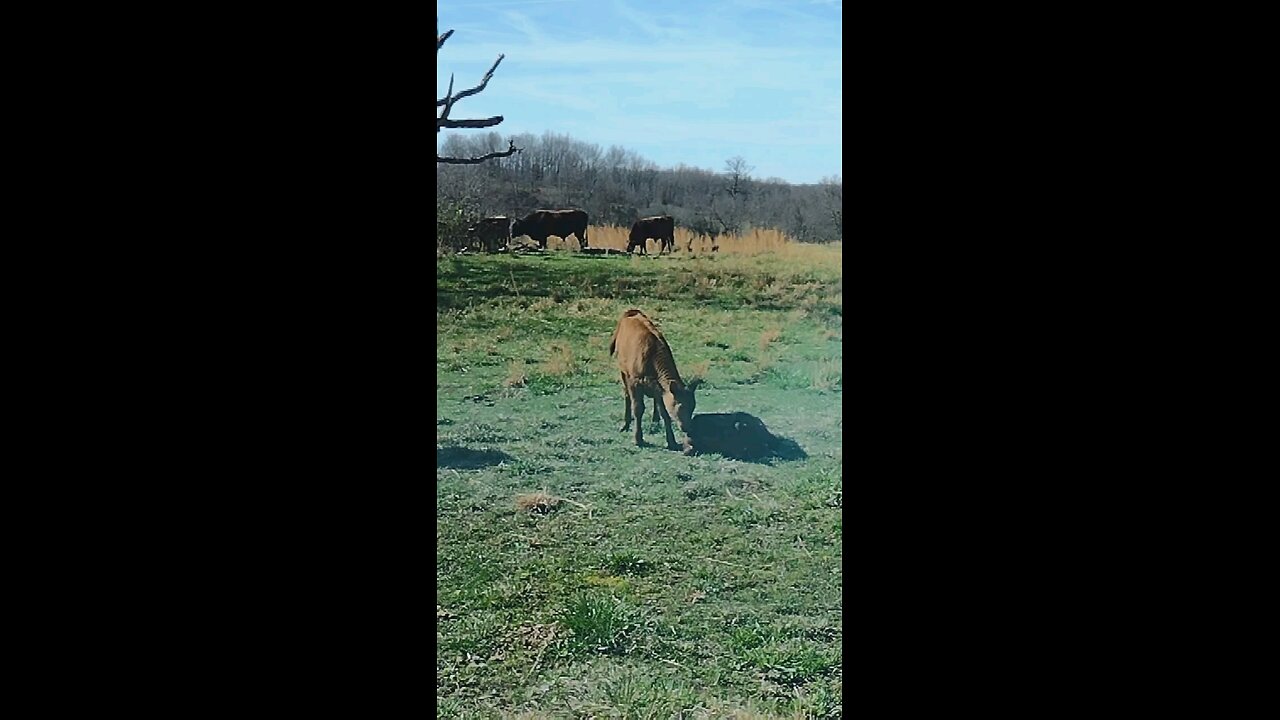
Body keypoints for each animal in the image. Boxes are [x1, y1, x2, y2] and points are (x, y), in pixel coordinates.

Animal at [606, 307, 701, 450]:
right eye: (680, 406)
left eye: (693, 406)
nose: (687, 428)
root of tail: (631, 312)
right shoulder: (634, 381)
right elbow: (638, 408)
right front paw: (638, 439)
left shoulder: (659, 388)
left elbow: (664, 412)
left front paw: (671, 441)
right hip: (622, 370)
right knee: (626, 394)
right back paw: (625, 424)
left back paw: (654, 423)